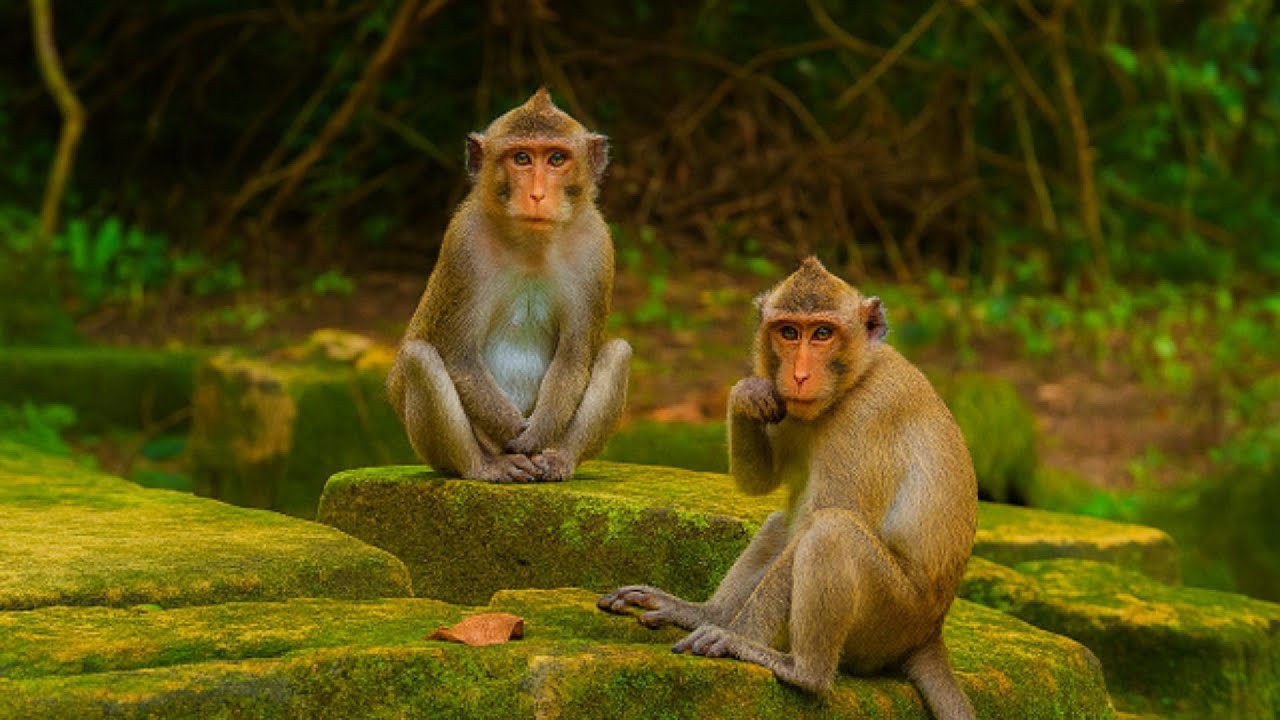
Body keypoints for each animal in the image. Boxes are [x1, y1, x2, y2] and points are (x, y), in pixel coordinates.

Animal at [387, 88, 631, 483]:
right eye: (521, 158)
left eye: (557, 158)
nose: (537, 195)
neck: (531, 244)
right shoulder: (464, 245)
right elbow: (459, 356)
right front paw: (513, 433)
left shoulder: (597, 248)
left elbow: (574, 358)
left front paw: (537, 434)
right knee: (419, 357)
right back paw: (486, 465)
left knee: (619, 353)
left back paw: (559, 459)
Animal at [599, 258, 977, 720]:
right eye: (789, 332)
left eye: (823, 333)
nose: (798, 375)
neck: (856, 378)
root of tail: (930, 631)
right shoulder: (792, 408)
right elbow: (766, 483)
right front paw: (747, 393)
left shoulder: (867, 416)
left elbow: (824, 518)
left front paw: (735, 636)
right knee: (785, 522)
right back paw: (705, 613)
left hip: (893, 616)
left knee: (830, 531)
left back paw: (795, 666)